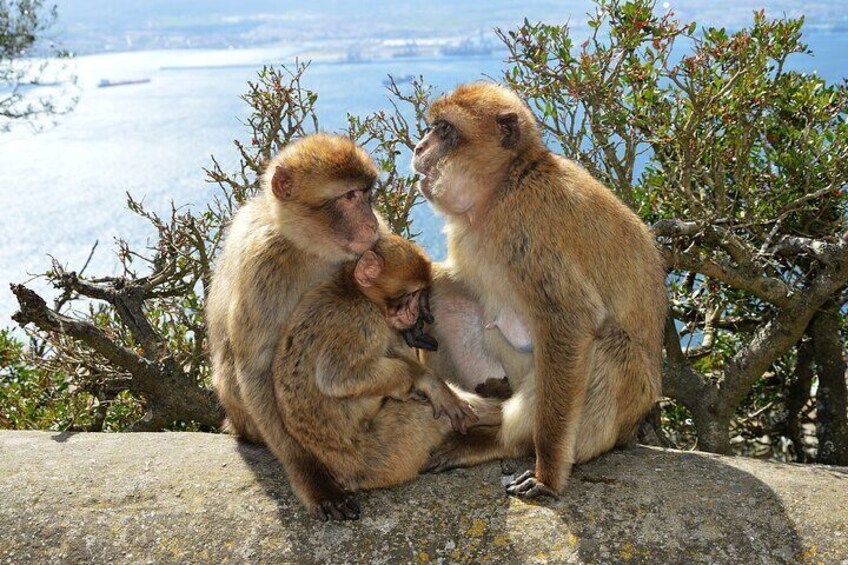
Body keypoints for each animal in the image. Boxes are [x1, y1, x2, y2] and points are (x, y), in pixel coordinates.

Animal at [206, 134, 384, 520]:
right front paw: (311, 475)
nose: (372, 222)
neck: (310, 249)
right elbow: (255, 367)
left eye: (367, 194)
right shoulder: (263, 264)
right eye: (349, 196)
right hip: (242, 414)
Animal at [273, 233, 501, 518]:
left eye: (421, 295)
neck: (352, 290)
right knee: (422, 413)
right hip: (391, 451)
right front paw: (426, 380)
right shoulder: (363, 319)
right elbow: (337, 378)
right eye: (412, 294)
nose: (415, 314)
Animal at [411, 82, 667, 498]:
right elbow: (449, 281)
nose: (419, 147)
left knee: (610, 350)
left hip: (616, 408)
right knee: (444, 295)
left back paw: (504, 443)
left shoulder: (532, 226)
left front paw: (547, 472)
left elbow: (570, 321)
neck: (505, 185)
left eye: (445, 130)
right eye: (431, 127)